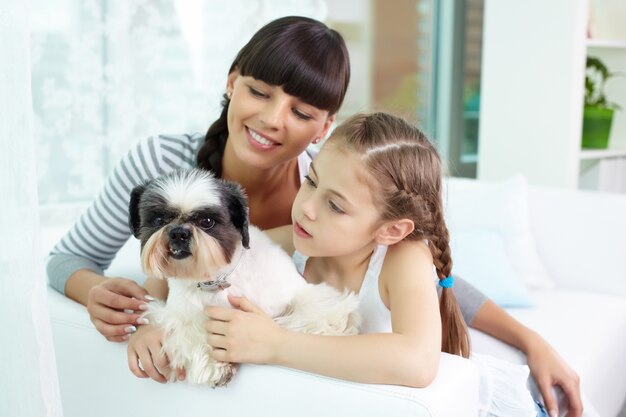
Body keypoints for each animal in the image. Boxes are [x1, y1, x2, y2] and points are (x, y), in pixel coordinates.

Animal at [127, 167, 358, 386]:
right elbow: (192, 331)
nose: (178, 232)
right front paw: (215, 365)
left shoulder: (297, 292)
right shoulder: (181, 317)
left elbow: (311, 314)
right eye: (158, 220)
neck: (215, 281)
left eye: (207, 221)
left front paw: (334, 329)